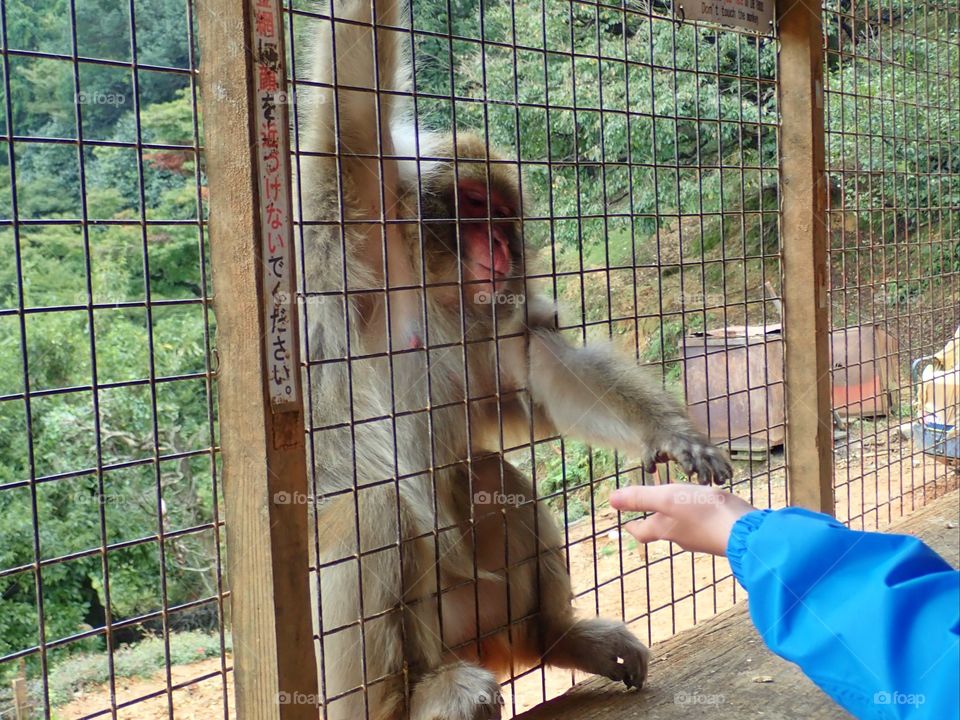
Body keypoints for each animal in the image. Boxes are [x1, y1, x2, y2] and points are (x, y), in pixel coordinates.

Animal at [296, 2, 732, 716]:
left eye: (503, 216)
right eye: (474, 207)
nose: (499, 247)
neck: (438, 291)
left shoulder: (491, 317)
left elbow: (545, 374)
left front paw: (673, 434)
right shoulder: (358, 229)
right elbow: (353, 104)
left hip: (481, 613)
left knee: (494, 482)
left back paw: (554, 638)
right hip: (406, 624)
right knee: (374, 511)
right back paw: (413, 697)